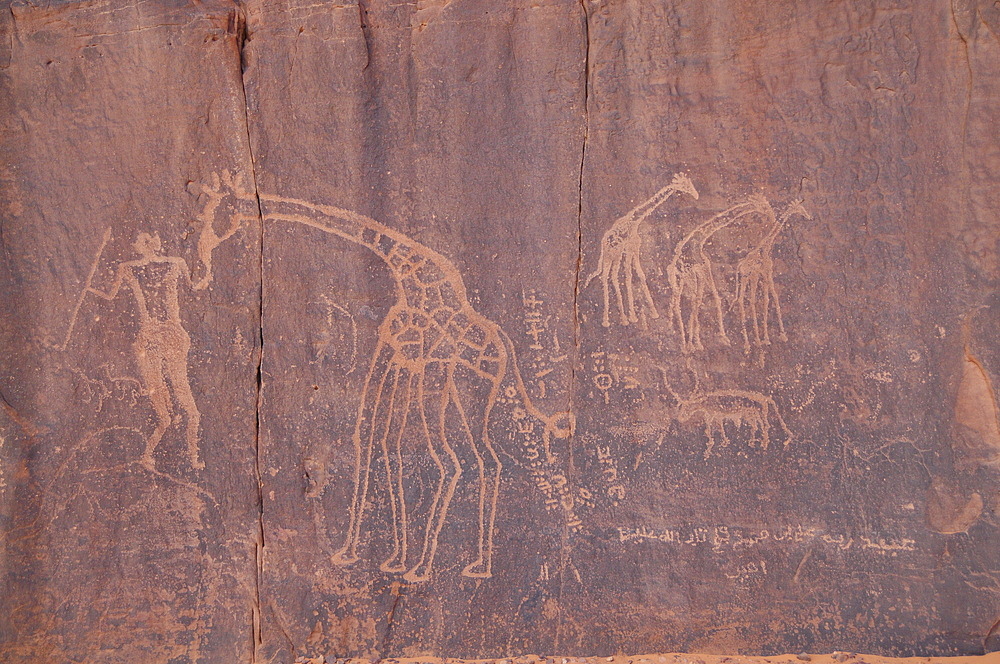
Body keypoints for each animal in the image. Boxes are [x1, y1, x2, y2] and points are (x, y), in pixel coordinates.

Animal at [260, 193, 572, 580]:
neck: (412, 281)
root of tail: (502, 343)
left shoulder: (412, 363)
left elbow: (385, 446)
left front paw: (395, 558)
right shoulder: (396, 359)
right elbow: (378, 443)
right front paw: (377, 555)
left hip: (459, 388)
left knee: (455, 462)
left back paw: (429, 567)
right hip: (459, 396)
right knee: (483, 460)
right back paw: (475, 564)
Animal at [584, 172, 696, 326]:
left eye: (690, 183)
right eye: (685, 185)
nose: (696, 195)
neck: (635, 221)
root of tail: (603, 243)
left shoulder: (635, 248)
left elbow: (640, 275)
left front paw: (653, 312)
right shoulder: (629, 248)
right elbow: (629, 277)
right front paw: (632, 316)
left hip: (614, 256)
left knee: (610, 276)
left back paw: (618, 318)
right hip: (612, 255)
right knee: (608, 277)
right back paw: (610, 320)